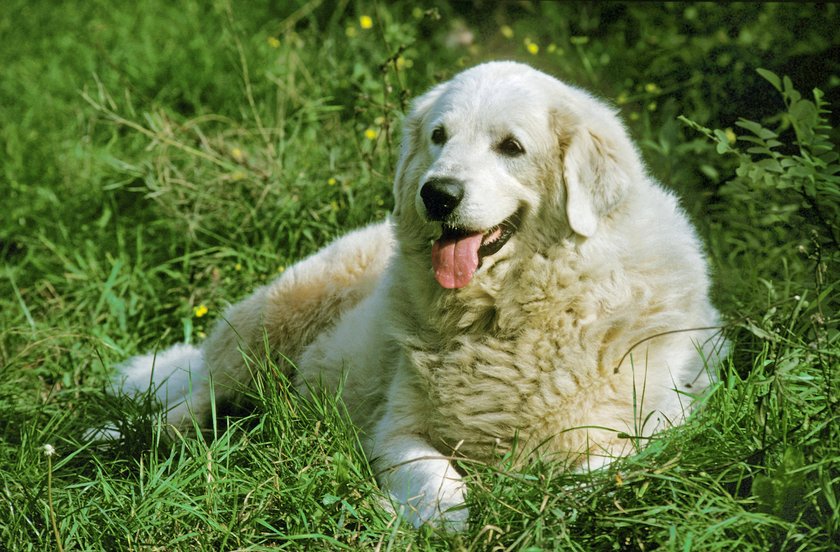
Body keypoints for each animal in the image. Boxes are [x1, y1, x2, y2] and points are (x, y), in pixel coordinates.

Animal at [115, 61, 724, 532]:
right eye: (439, 136)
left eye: (511, 147)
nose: (438, 194)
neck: (507, 316)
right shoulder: (398, 430)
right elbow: (438, 482)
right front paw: (440, 521)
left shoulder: (650, 429)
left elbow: (590, 476)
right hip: (270, 326)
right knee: (189, 399)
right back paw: (128, 436)